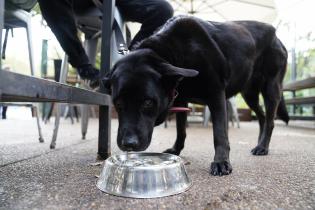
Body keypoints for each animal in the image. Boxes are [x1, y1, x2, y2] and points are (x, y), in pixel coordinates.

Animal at [103, 16, 288, 176]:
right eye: (118, 103)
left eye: (148, 102)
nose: (128, 144)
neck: (174, 52)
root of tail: (275, 35)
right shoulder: (181, 99)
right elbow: (181, 130)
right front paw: (176, 149)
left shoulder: (216, 95)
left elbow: (219, 134)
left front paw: (221, 162)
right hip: (249, 93)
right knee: (262, 117)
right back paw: (259, 143)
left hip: (271, 88)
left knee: (270, 120)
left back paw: (263, 147)